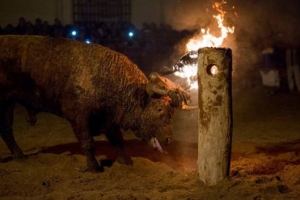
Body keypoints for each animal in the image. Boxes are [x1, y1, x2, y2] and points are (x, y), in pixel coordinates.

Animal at [0, 34, 192, 172]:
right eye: (159, 109)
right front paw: (93, 168)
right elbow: (88, 143)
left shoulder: (110, 119)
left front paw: (126, 162)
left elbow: (118, 141)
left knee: (6, 131)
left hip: (8, 103)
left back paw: (20, 156)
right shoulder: (79, 118)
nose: (168, 139)